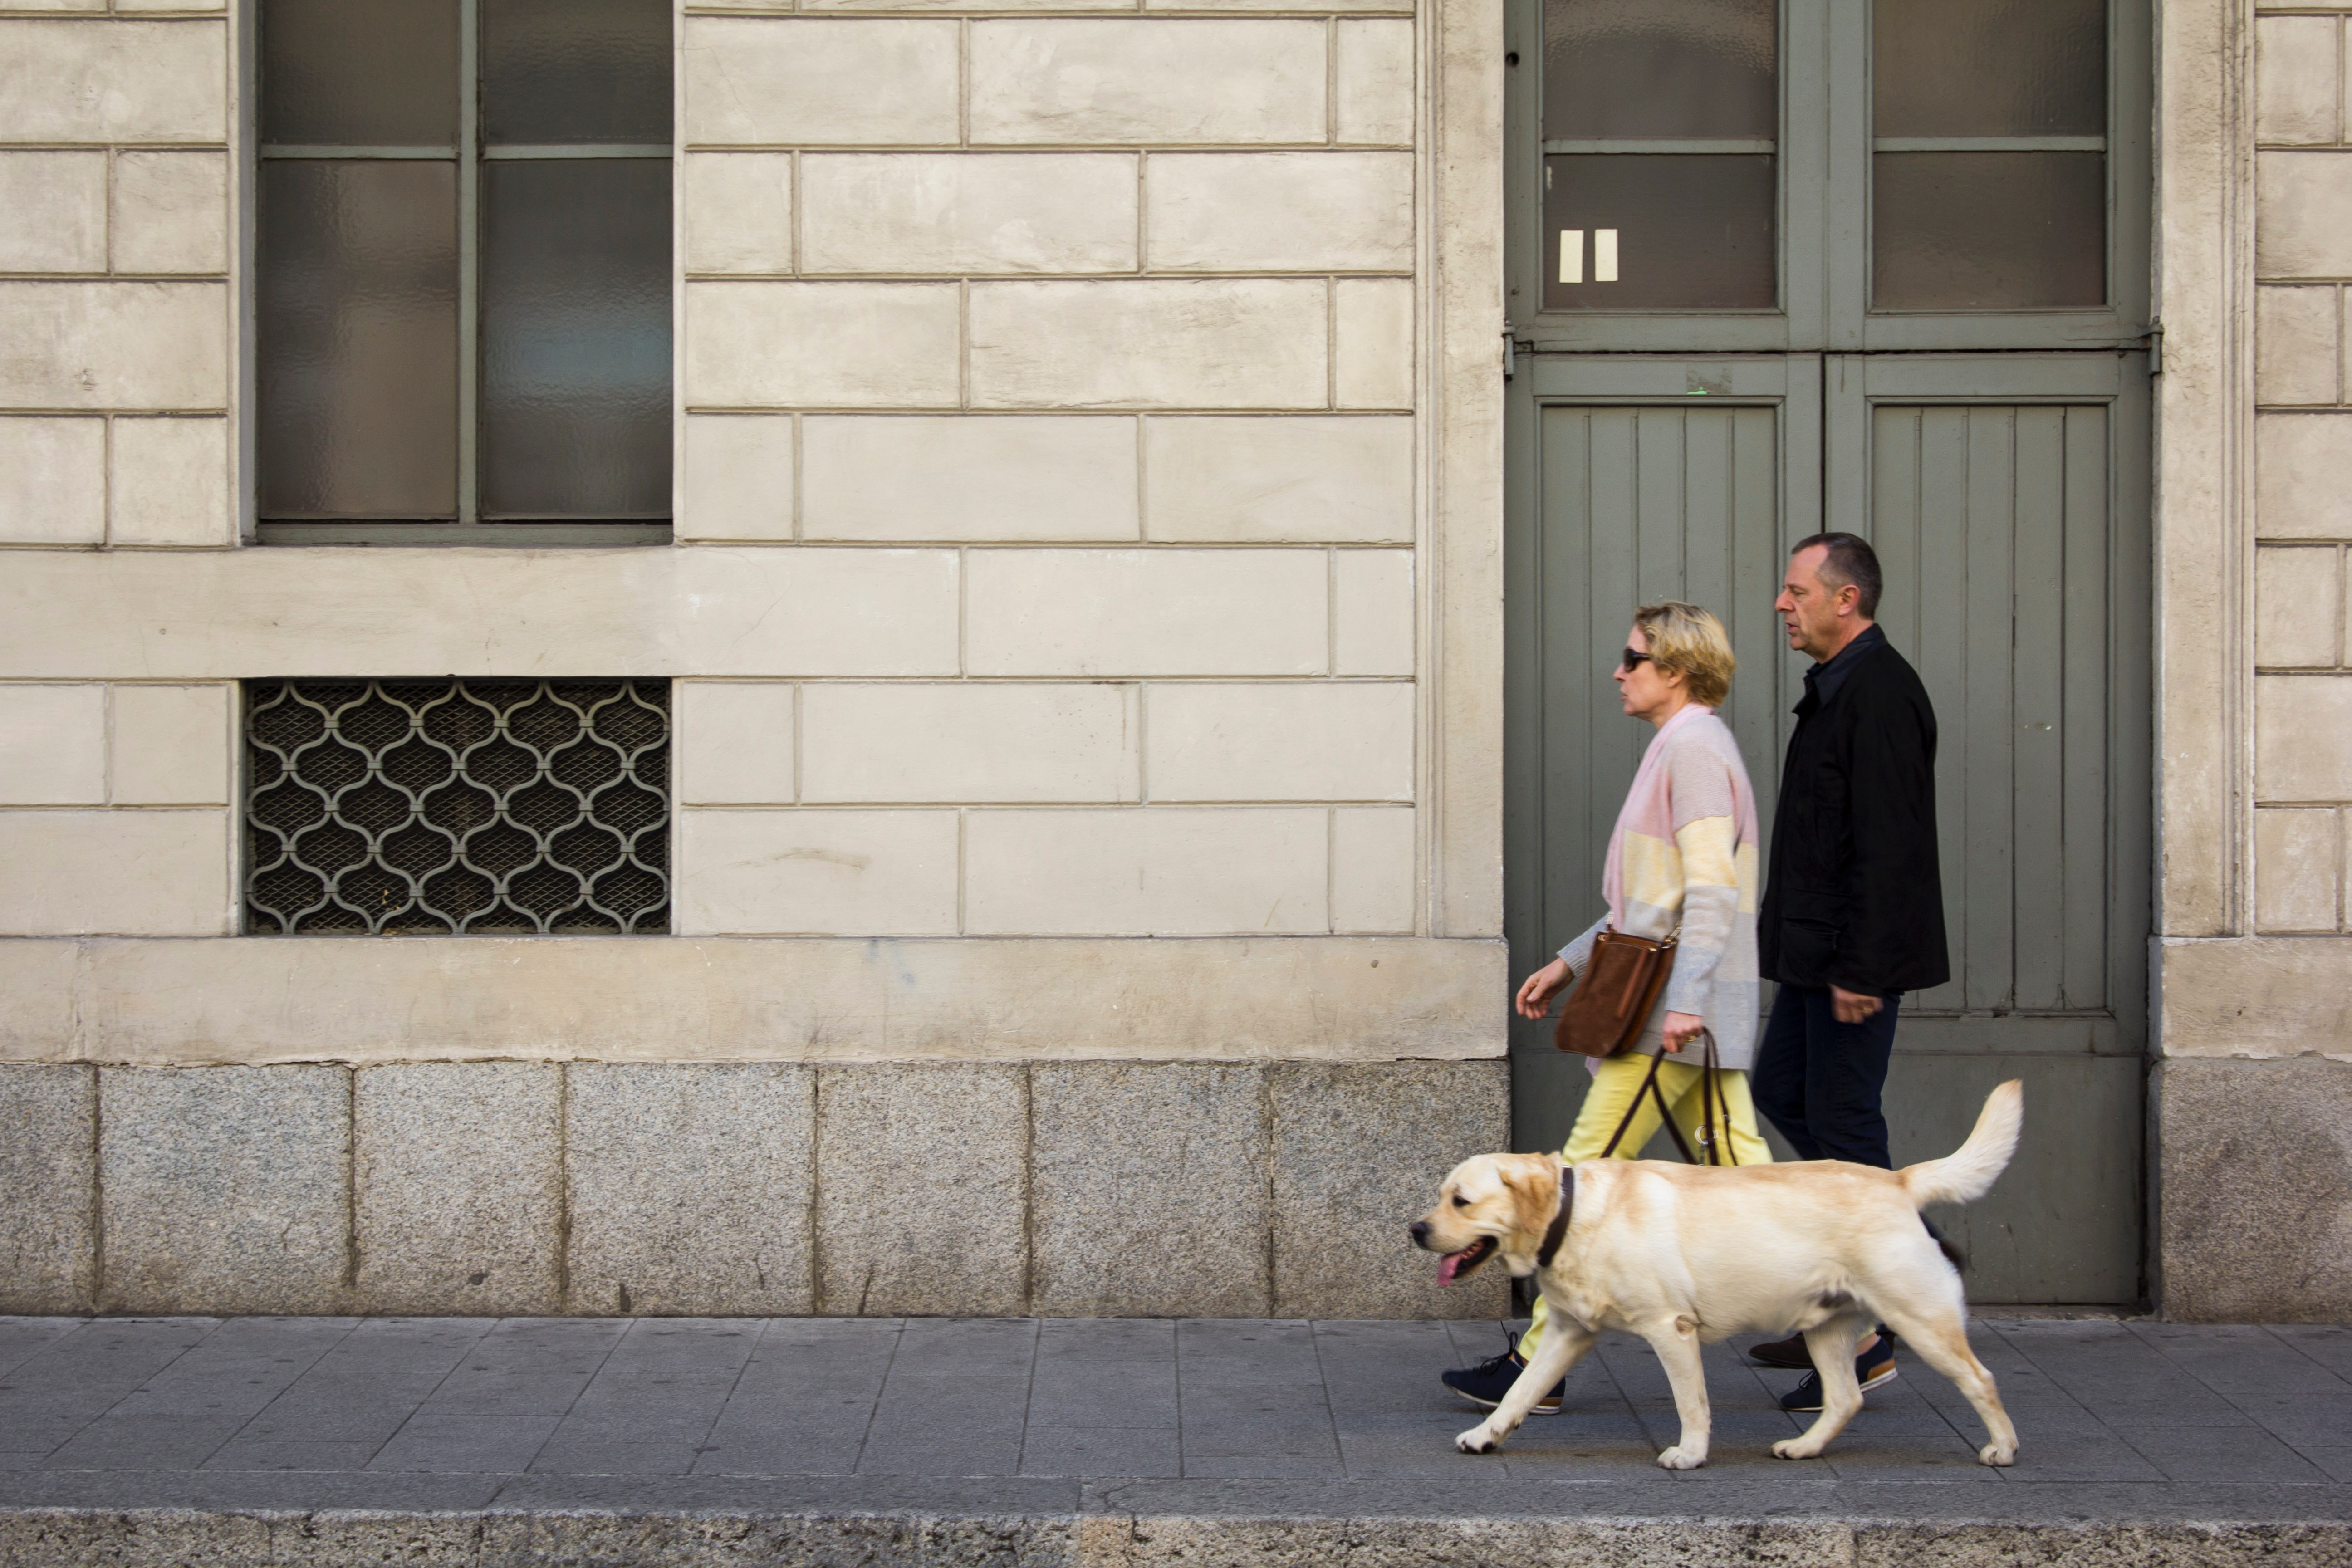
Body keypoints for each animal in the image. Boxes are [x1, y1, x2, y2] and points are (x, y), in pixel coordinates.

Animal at [1411, 1081, 2023, 1476]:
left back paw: (2003, 1448)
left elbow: (1692, 1404)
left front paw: (1690, 1454)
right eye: (1440, 1195)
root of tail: (1899, 1180)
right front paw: (1487, 1435)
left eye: (1461, 1201)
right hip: (1826, 1328)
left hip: (1921, 1318)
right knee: (1846, 1399)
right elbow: (1520, 1391)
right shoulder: (1568, 1332)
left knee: (1982, 1379)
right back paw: (1805, 1448)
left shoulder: (1670, 1329)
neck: (1573, 1215)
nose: (1416, 1229)